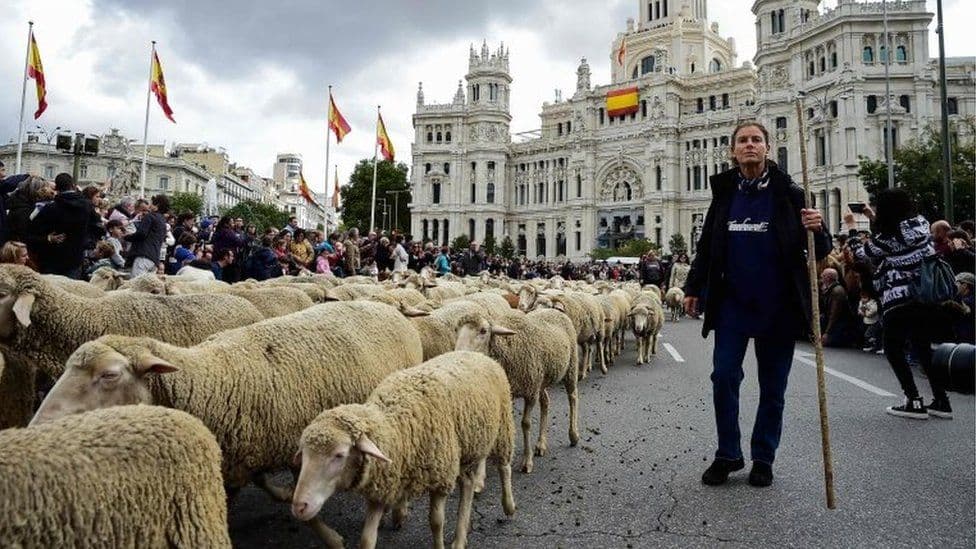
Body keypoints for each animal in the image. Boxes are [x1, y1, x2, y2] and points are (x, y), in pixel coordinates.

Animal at [33, 300, 424, 548]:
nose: (38, 424)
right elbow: (266, 484)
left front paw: (333, 539)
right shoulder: (245, 455)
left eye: (109, 375)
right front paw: (282, 494)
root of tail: (389, 307)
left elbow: (304, 508)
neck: (212, 380)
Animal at [292, 352, 516, 548]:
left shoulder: (440, 478)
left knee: (504, 468)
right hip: (464, 451)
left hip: (502, 428)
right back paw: (460, 539)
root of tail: (478, 354)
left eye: (339, 455)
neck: (395, 426)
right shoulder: (381, 490)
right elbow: (367, 539)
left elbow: (436, 522)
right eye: (304, 455)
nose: (299, 506)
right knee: (468, 484)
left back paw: (508, 506)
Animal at [454, 306, 576, 474]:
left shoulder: (530, 392)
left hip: (570, 366)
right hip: (541, 379)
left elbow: (526, 423)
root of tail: (552, 309)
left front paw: (527, 461)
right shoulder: (512, 392)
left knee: (572, 397)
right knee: (545, 402)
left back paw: (574, 436)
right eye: (456, 330)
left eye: (483, 330)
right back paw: (541, 444)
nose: (458, 354)